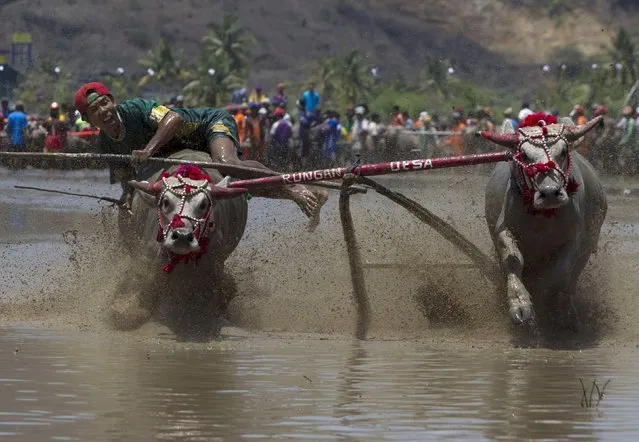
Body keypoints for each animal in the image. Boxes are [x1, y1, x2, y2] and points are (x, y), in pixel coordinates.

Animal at [480, 114, 608, 328]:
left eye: (563, 151)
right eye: (524, 155)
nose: (549, 193)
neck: (542, 221)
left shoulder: (575, 239)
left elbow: (560, 273)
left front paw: (546, 300)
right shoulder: (503, 230)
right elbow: (513, 260)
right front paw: (520, 305)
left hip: (589, 246)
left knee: (572, 279)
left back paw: (568, 312)